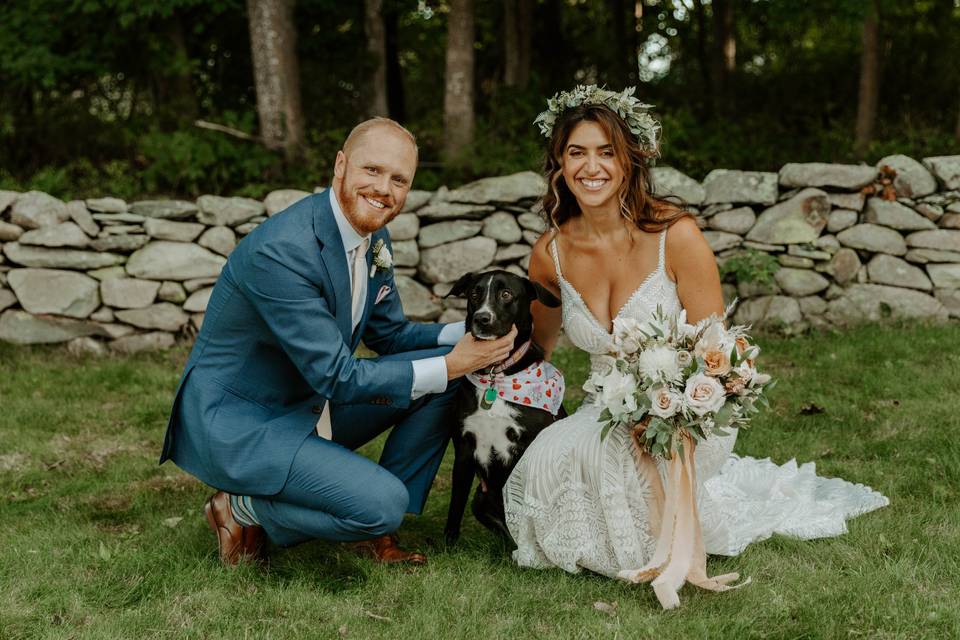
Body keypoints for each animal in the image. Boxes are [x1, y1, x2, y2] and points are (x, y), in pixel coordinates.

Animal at [444, 268, 568, 544]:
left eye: (506, 294)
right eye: (474, 293)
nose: (482, 318)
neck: (495, 375)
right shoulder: (464, 449)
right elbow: (455, 504)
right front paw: (447, 544)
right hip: (480, 499)